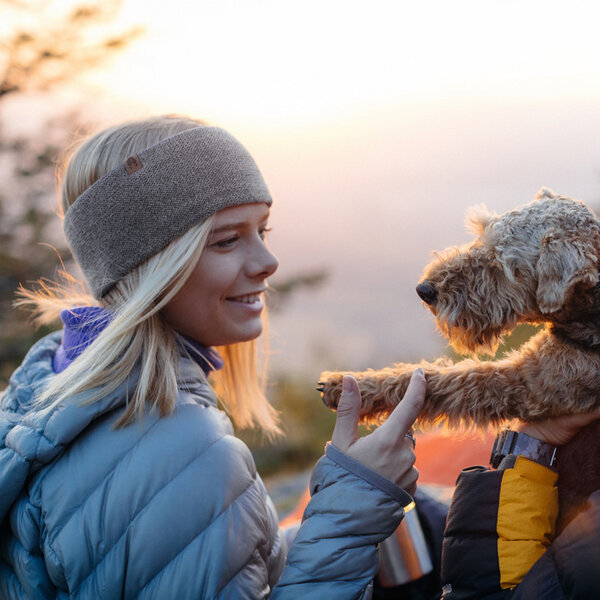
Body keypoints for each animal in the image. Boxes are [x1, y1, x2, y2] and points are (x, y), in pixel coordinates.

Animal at [322, 189, 600, 528]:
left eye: (502, 265)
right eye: (482, 236)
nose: (425, 289)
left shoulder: (525, 382)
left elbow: (448, 379)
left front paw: (348, 386)